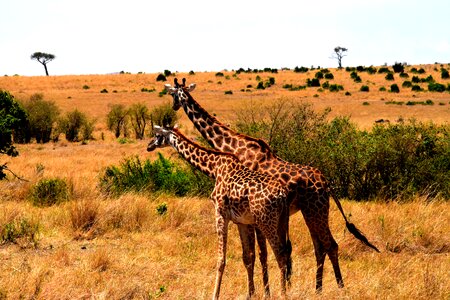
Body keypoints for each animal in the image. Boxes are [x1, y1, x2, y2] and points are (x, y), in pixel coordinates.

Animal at [148, 125, 294, 298]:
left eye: (157, 135)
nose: (149, 146)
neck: (215, 168)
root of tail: (283, 194)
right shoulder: (241, 221)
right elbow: (247, 257)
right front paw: (250, 294)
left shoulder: (220, 214)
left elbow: (221, 259)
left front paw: (214, 295)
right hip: (281, 221)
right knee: (285, 251)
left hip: (266, 221)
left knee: (280, 253)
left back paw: (283, 294)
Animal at [163, 78, 378, 292]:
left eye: (172, 94)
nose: (173, 107)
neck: (235, 147)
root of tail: (326, 183)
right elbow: (267, 253)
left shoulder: (253, 215)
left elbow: (261, 254)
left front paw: (267, 291)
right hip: (311, 212)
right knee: (319, 247)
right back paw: (318, 289)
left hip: (315, 210)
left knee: (330, 245)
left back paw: (340, 287)